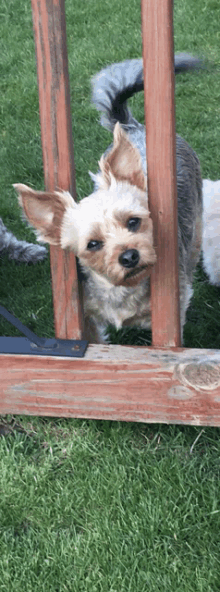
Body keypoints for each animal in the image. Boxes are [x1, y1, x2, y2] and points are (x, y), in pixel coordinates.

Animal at [14, 57, 203, 344]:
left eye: (134, 222)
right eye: (93, 244)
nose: (129, 256)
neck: (122, 289)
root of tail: (132, 126)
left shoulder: (173, 310)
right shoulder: (87, 317)